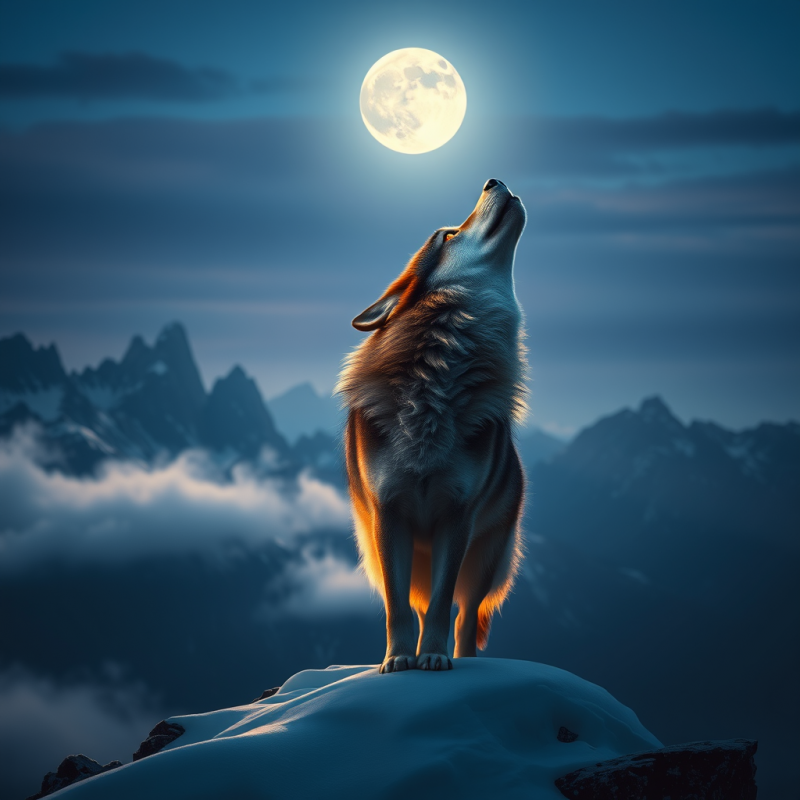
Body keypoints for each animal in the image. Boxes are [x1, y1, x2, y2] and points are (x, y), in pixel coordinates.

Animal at [336, 179, 528, 673]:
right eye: (447, 235)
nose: (494, 181)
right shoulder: (388, 515)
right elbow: (398, 605)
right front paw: (399, 658)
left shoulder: (458, 516)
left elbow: (445, 605)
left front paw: (435, 657)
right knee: (419, 604)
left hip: (486, 558)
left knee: (466, 617)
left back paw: (463, 659)